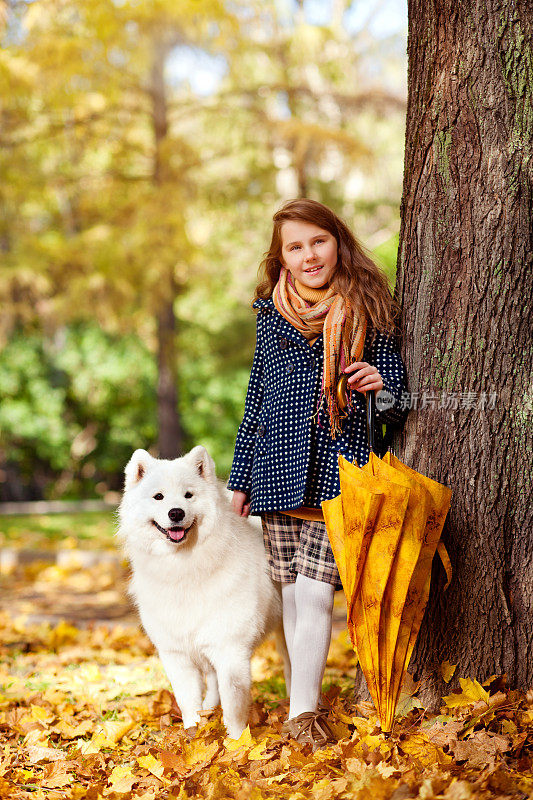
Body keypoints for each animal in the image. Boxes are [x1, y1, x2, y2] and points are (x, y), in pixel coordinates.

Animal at [118, 444, 288, 736]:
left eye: (188, 495)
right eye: (158, 497)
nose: (176, 512)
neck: (186, 568)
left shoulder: (230, 648)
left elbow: (233, 703)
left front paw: (237, 740)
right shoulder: (176, 653)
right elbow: (187, 699)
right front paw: (193, 734)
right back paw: (208, 708)